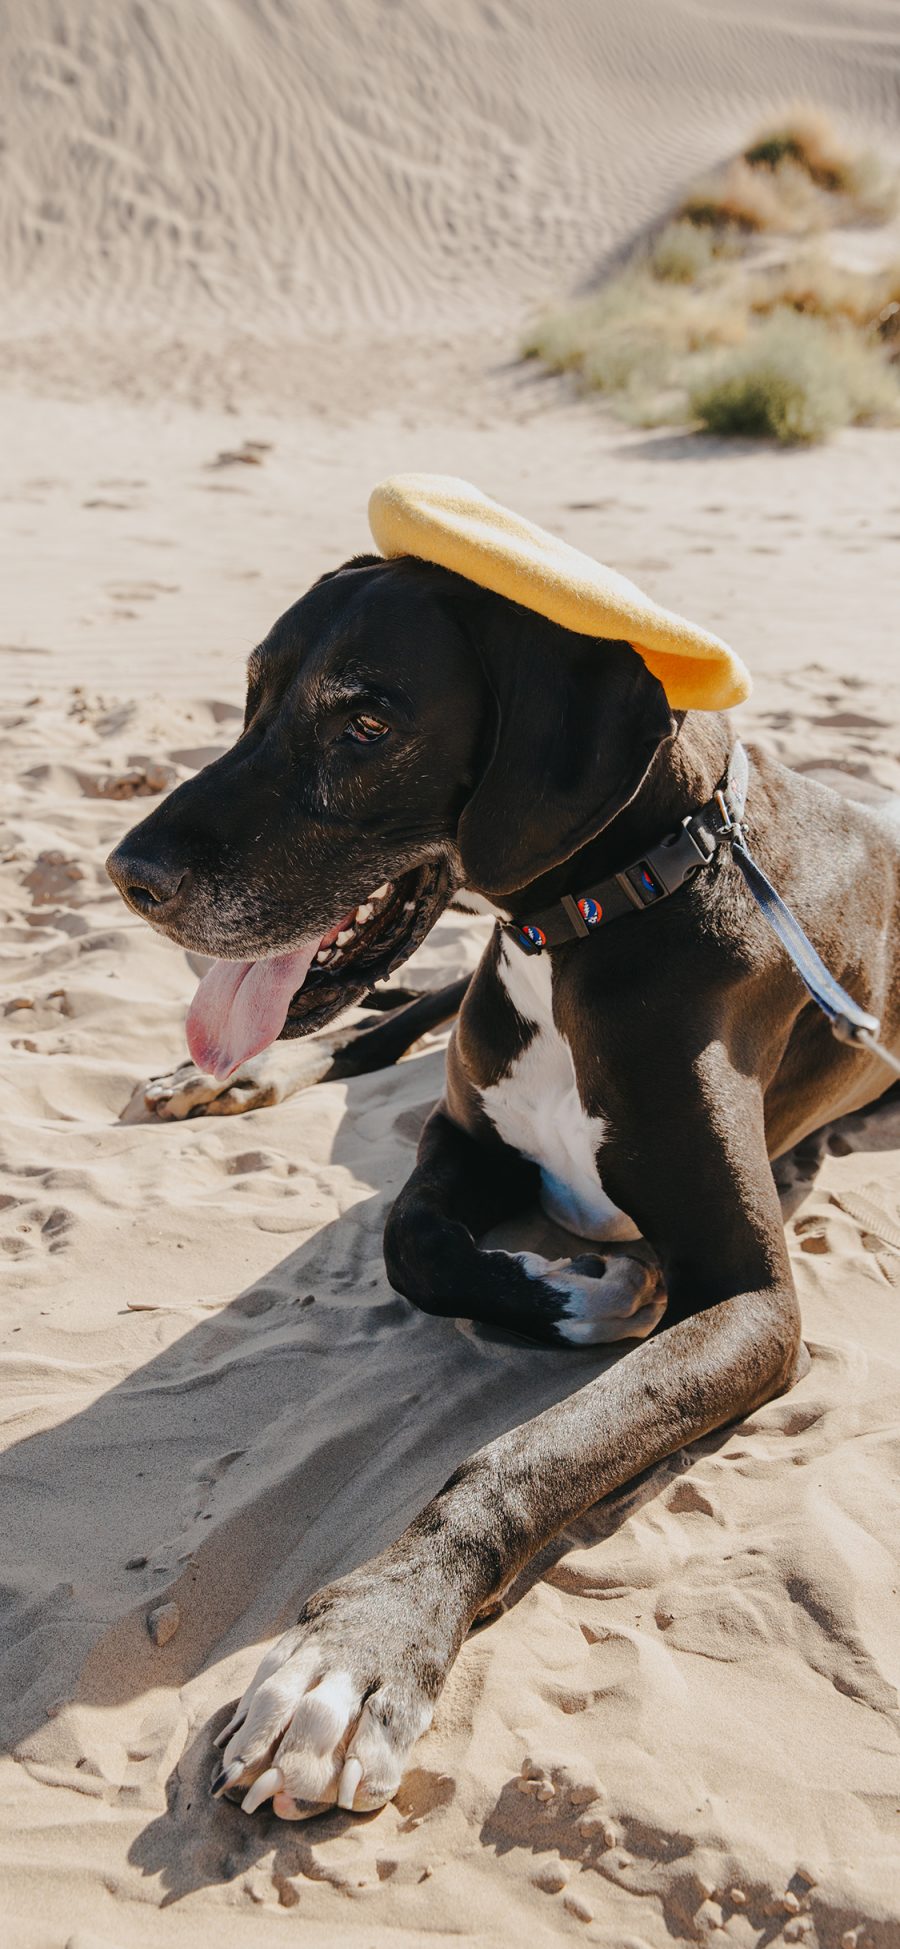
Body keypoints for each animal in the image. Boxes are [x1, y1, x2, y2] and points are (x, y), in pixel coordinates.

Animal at [107, 553, 900, 1824]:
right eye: (253, 692)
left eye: (367, 721)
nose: (129, 875)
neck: (599, 913)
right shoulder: (460, 1142)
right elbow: (409, 1239)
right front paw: (582, 1291)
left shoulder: (753, 1299)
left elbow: (540, 1445)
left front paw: (363, 1648)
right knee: (394, 1013)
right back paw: (228, 1074)